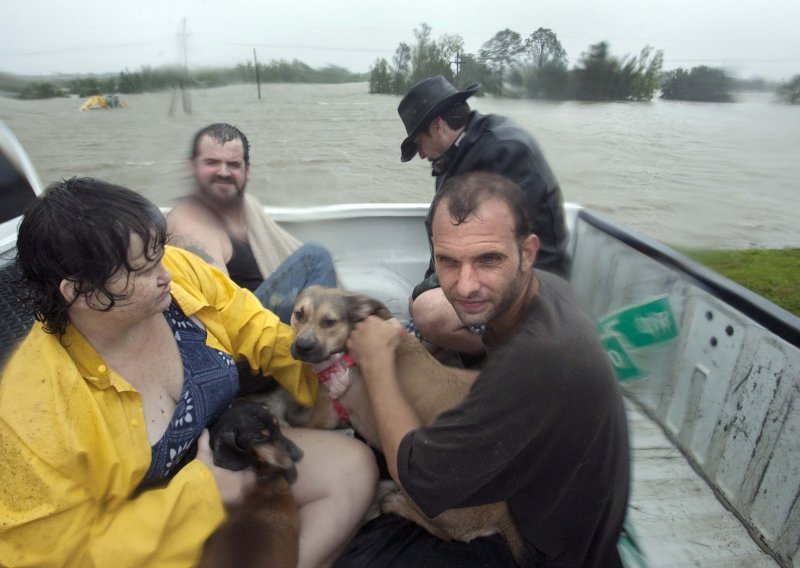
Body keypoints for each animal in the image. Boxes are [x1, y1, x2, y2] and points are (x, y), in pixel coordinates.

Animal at [290, 286, 528, 564]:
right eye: (298, 314)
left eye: (329, 322)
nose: (302, 346)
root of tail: (502, 515)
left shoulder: (324, 415)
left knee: (444, 534)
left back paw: (394, 504)